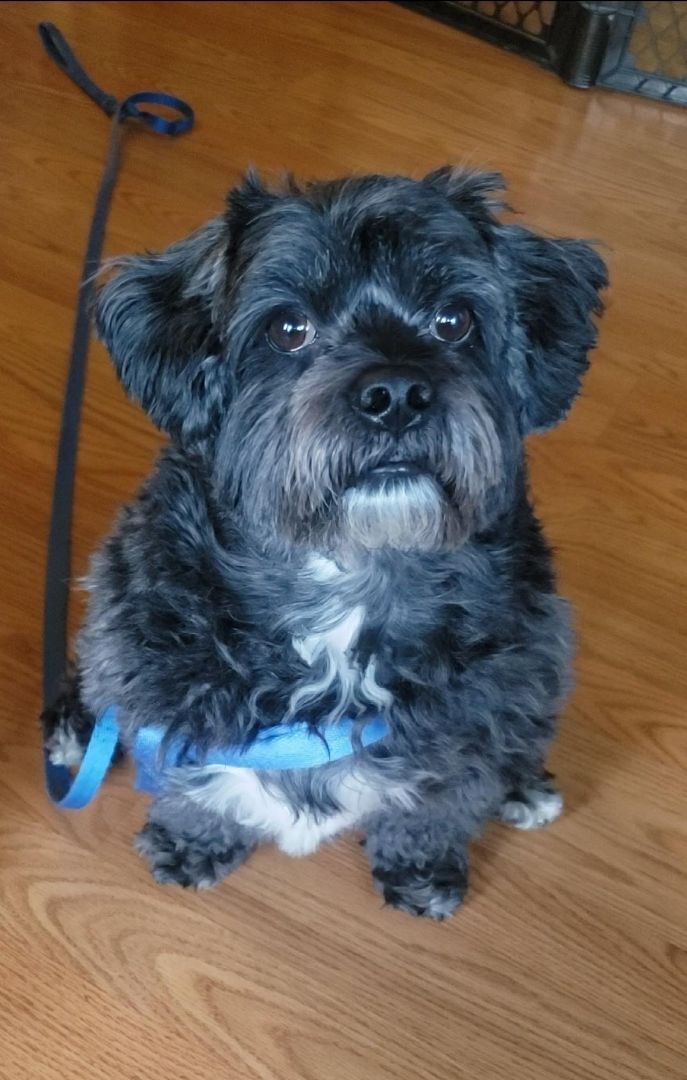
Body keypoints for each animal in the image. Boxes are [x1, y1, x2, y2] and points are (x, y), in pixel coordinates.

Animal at [42, 168, 604, 920]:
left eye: (454, 321)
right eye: (288, 329)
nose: (395, 393)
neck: (347, 575)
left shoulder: (480, 709)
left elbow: (438, 805)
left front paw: (421, 869)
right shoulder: (158, 679)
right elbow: (193, 788)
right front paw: (193, 841)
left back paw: (526, 784)